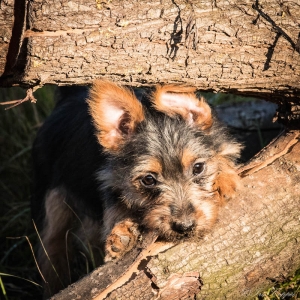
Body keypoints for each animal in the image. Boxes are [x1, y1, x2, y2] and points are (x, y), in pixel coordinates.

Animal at [31, 79, 241, 296]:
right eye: (148, 180)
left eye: (198, 168)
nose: (184, 226)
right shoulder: (112, 185)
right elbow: (116, 211)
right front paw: (122, 234)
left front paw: (225, 180)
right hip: (50, 202)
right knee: (50, 250)